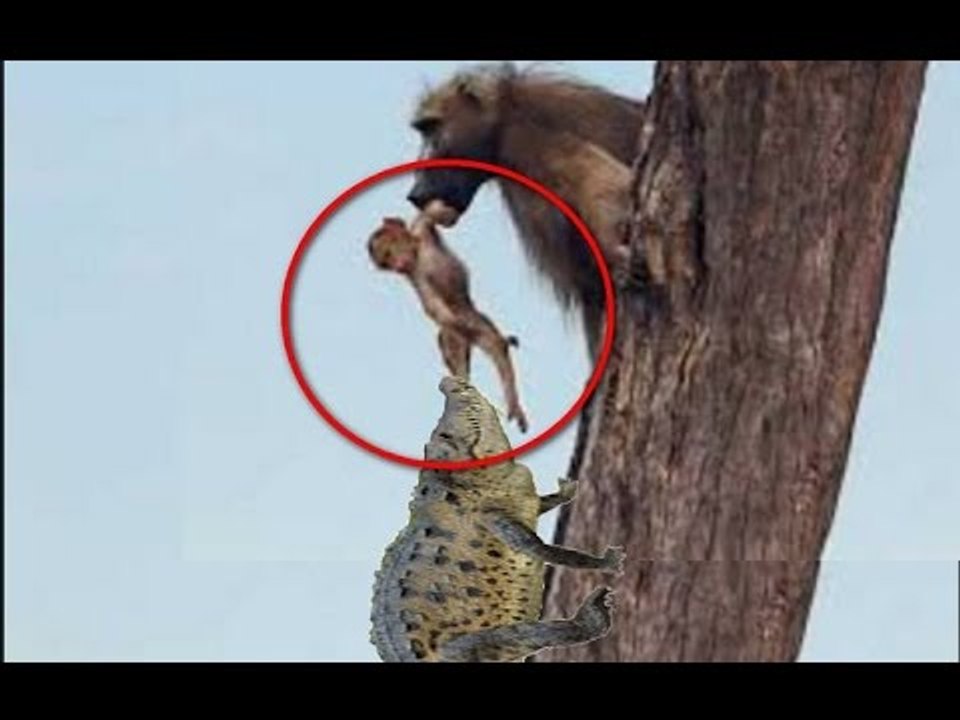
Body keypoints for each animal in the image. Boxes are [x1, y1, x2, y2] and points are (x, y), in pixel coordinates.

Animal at [367, 201, 530, 433]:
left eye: (388, 253)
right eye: (386, 262)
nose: (397, 265)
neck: (417, 252)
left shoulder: (422, 229)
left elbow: (440, 215)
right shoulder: (416, 277)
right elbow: (435, 309)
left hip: (475, 318)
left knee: (495, 346)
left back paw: (512, 403)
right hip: (463, 330)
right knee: (457, 342)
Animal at [405, 63, 645, 360]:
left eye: (431, 127)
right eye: (423, 130)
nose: (415, 194)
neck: (506, 115)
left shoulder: (530, 143)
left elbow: (608, 184)